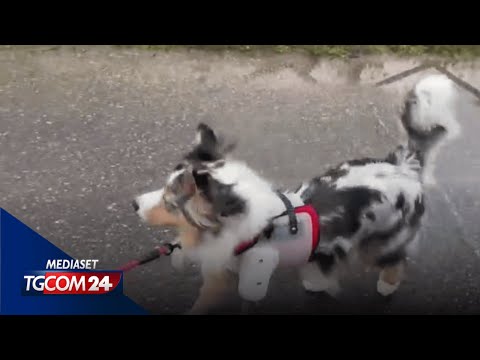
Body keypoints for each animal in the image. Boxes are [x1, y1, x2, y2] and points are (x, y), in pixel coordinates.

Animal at [132, 74, 462, 314]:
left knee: (396, 261)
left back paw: (386, 286)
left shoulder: (229, 280)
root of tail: (404, 164)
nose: (134, 204)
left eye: (170, 203)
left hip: (382, 239)